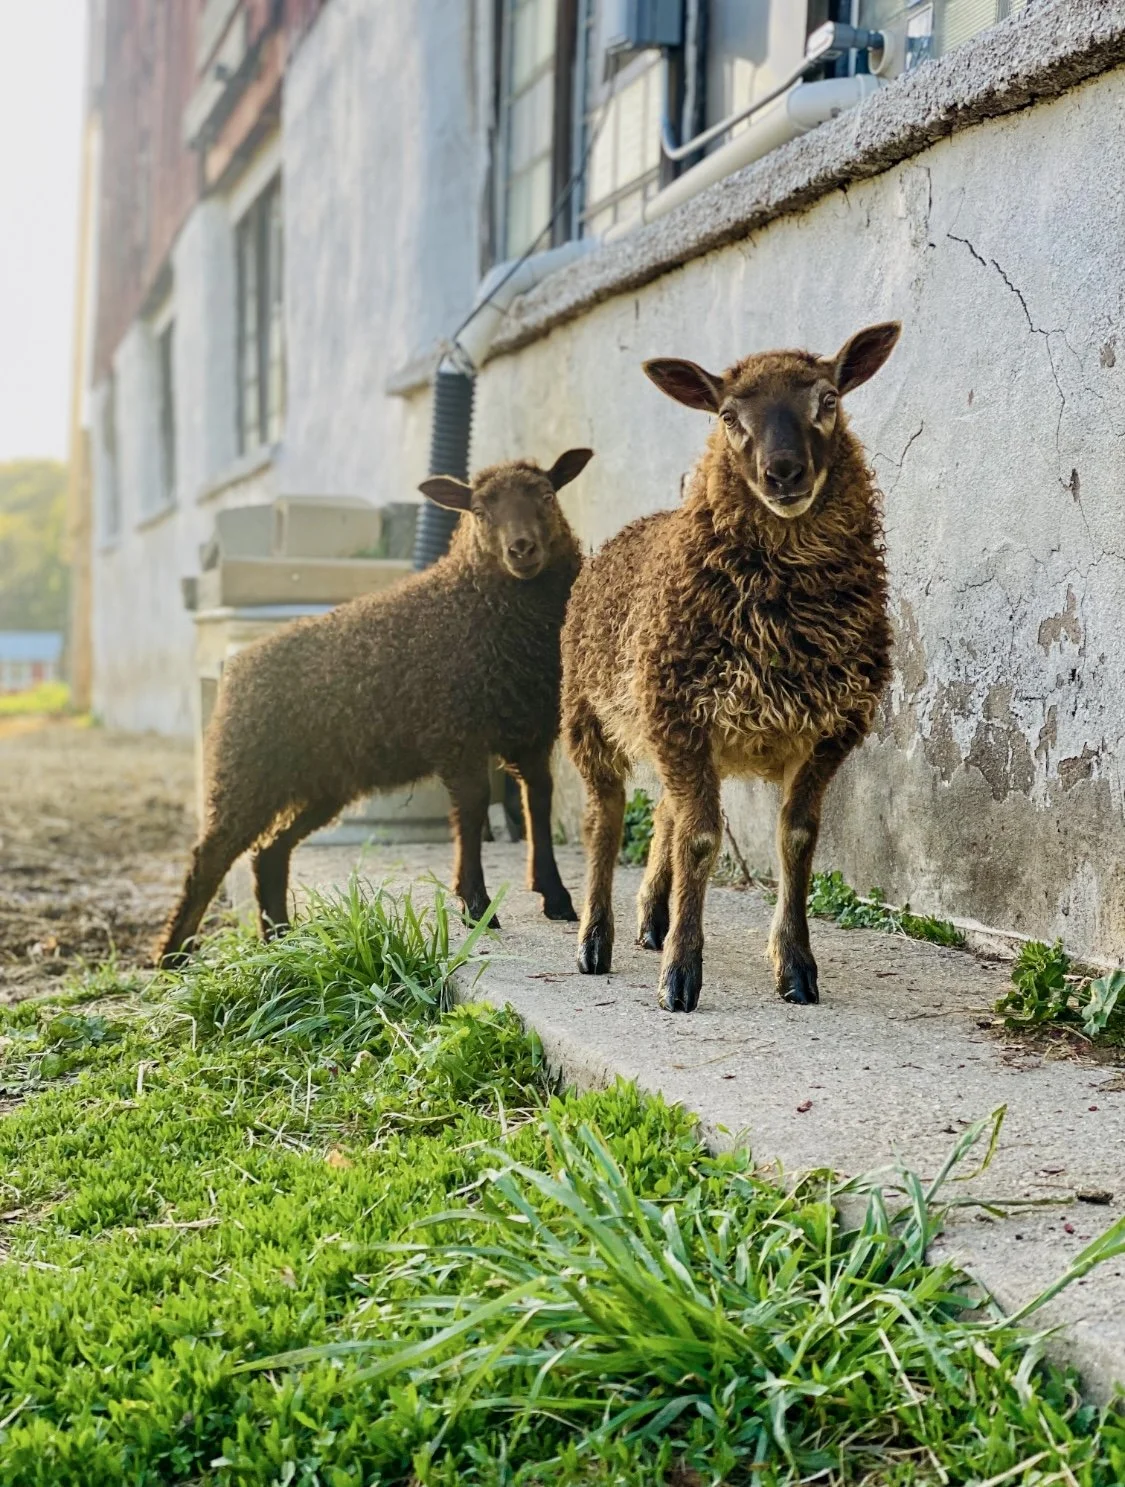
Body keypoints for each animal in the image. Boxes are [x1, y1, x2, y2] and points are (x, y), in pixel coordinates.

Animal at [156, 449, 594, 965]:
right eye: (479, 511)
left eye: (546, 495)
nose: (521, 549)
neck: (479, 607)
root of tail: (239, 667)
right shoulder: (456, 729)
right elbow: (471, 808)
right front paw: (475, 904)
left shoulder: (531, 731)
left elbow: (538, 801)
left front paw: (556, 897)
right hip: (247, 771)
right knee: (209, 858)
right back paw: (171, 958)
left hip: (321, 782)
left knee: (270, 853)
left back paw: (282, 940)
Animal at [560, 323, 900, 1013]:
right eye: (726, 416)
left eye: (828, 400)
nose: (784, 472)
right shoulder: (680, 712)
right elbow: (700, 841)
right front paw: (681, 975)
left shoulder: (829, 727)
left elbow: (796, 838)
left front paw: (795, 966)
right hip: (590, 713)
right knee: (604, 818)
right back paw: (595, 939)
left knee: (665, 811)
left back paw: (652, 918)